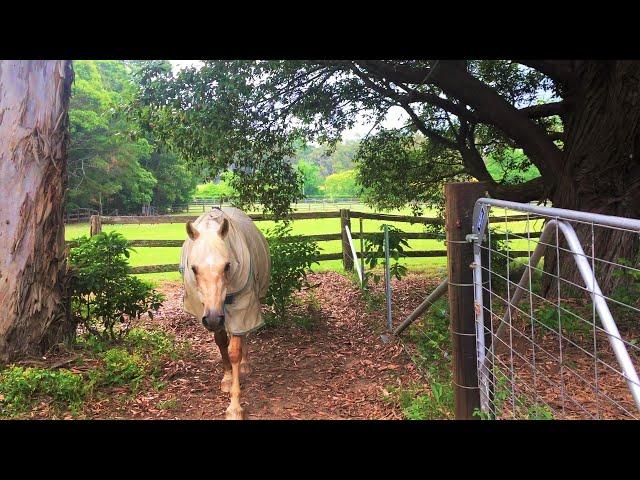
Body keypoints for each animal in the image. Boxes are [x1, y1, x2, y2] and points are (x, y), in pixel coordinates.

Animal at [179, 208, 272, 418]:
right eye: (193, 268)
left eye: (227, 266)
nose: (213, 319)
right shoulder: (209, 311)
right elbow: (222, 343)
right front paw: (228, 378)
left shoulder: (241, 307)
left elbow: (235, 351)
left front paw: (235, 407)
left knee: (245, 334)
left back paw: (245, 364)